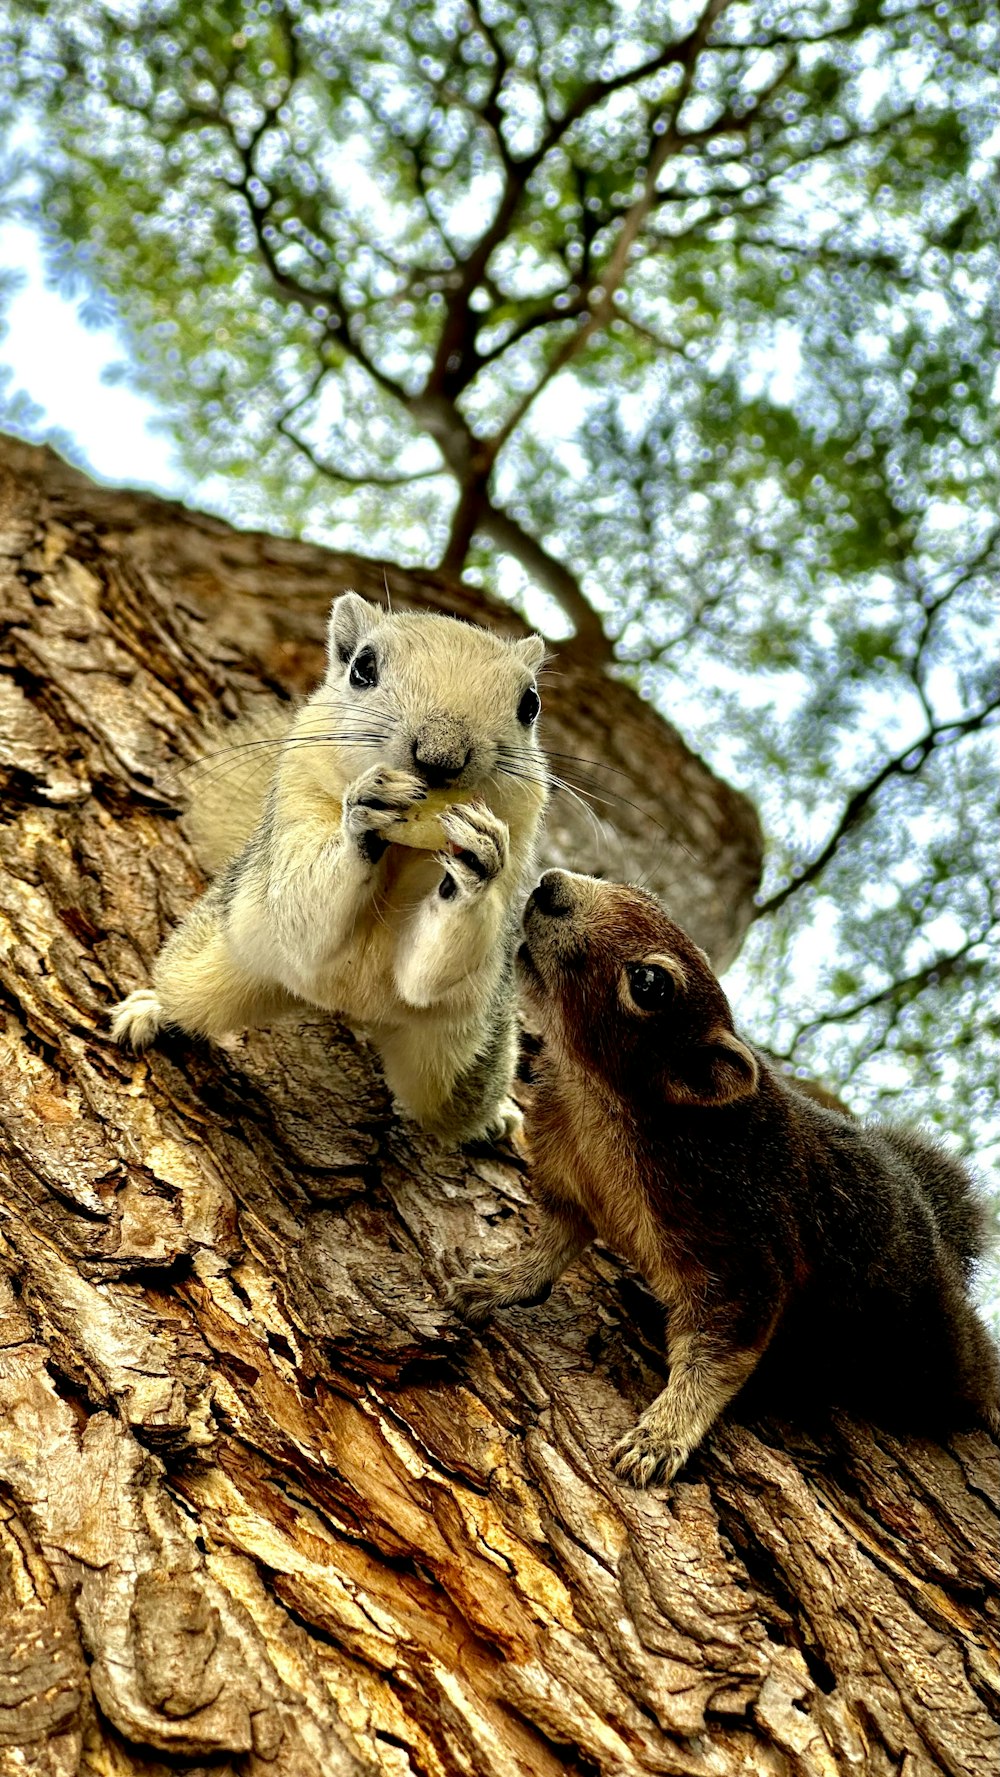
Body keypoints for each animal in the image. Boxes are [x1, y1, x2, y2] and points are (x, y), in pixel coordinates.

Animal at [114, 582, 550, 1137]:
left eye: (530, 703)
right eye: (362, 667)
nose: (440, 757)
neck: (401, 850)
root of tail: (343, 1007)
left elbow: (426, 973)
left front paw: (477, 863)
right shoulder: (296, 809)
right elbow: (300, 906)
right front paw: (364, 814)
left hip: (465, 1052)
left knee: (454, 1103)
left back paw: (496, 1116)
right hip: (218, 961)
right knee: (187, 989)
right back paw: (153, 1009)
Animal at [447, 867, 1000, 1492]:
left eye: (650, 984)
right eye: (641, 894)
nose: (548, 883)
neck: (599, 1099)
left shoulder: (743, 1247)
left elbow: (718, 1359)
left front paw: (660, 1437)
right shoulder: (570, 1181)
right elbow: (551, 1247)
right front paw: (498, 1283)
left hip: (931, 1349)